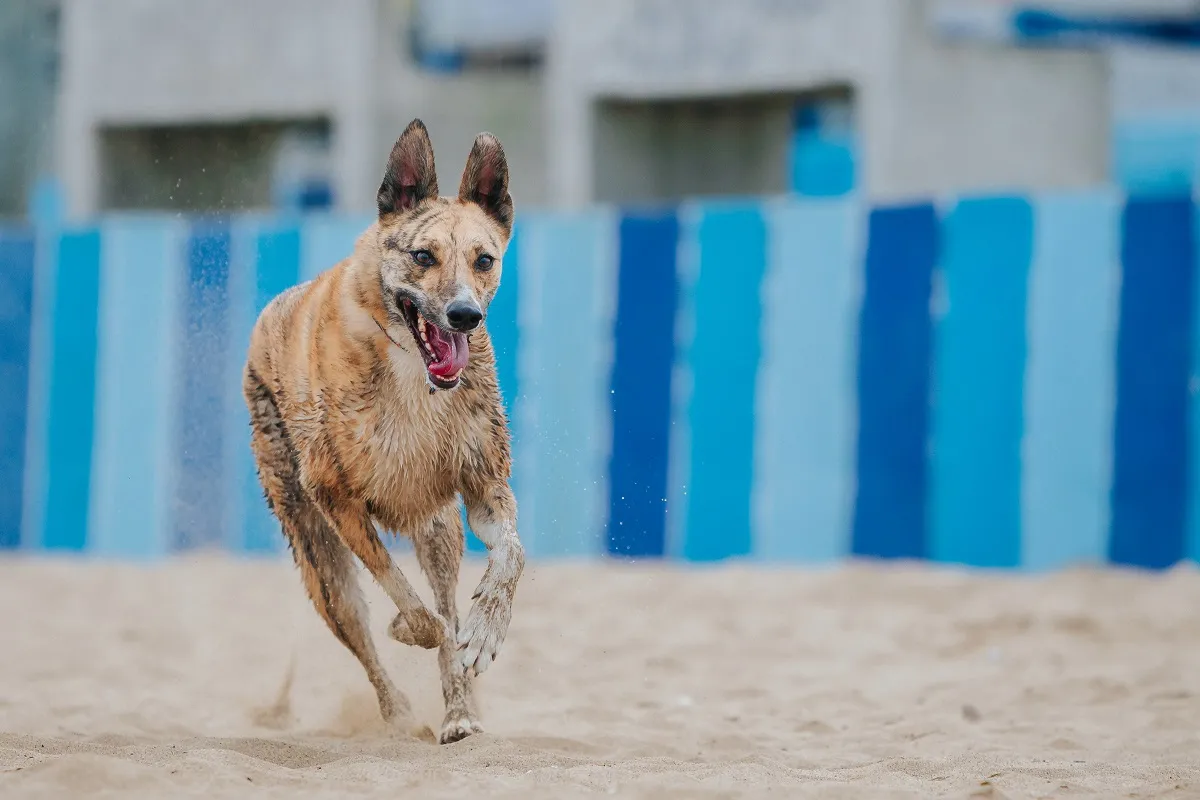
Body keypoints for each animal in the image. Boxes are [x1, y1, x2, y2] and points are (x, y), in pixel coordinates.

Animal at [241, 118, 523, 743]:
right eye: (422, 255)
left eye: (484, 259)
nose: (466, 315)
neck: (412, 374)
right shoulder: (335, 498)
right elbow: (399, 590)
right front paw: (415, 630)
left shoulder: (482, 483)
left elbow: (510, 554)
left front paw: (485, 630)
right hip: (315, 553)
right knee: (363, 633)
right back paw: (398, 713)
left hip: (438, 528)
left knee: (445, 592)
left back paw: (459, 710)